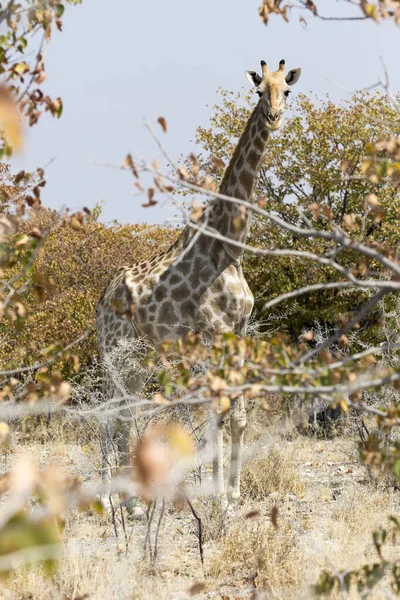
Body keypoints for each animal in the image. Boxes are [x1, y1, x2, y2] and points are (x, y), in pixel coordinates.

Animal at [96, 59, 300, 502]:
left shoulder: (239, 331)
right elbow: (215, 415)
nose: (274, 117)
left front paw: (235, 494)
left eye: (287, 91)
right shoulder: (211, 333)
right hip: (111, 351)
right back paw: (105, 496)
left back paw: (129, 498)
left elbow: (238, 417)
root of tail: (100, 299)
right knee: (106, 412)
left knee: (124, 413)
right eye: (259, 91)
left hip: (138, 357)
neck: (229, 247)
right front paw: (218, 496)